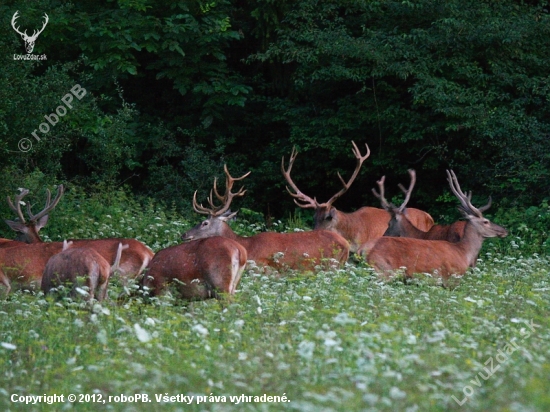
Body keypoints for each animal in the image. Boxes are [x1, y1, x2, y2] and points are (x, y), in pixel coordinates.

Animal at [183, 166, 352, 272]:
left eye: (205, 223)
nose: (184, 234)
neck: (248, 247)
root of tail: (346, 244)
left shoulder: (264, 268)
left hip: (332, 265)